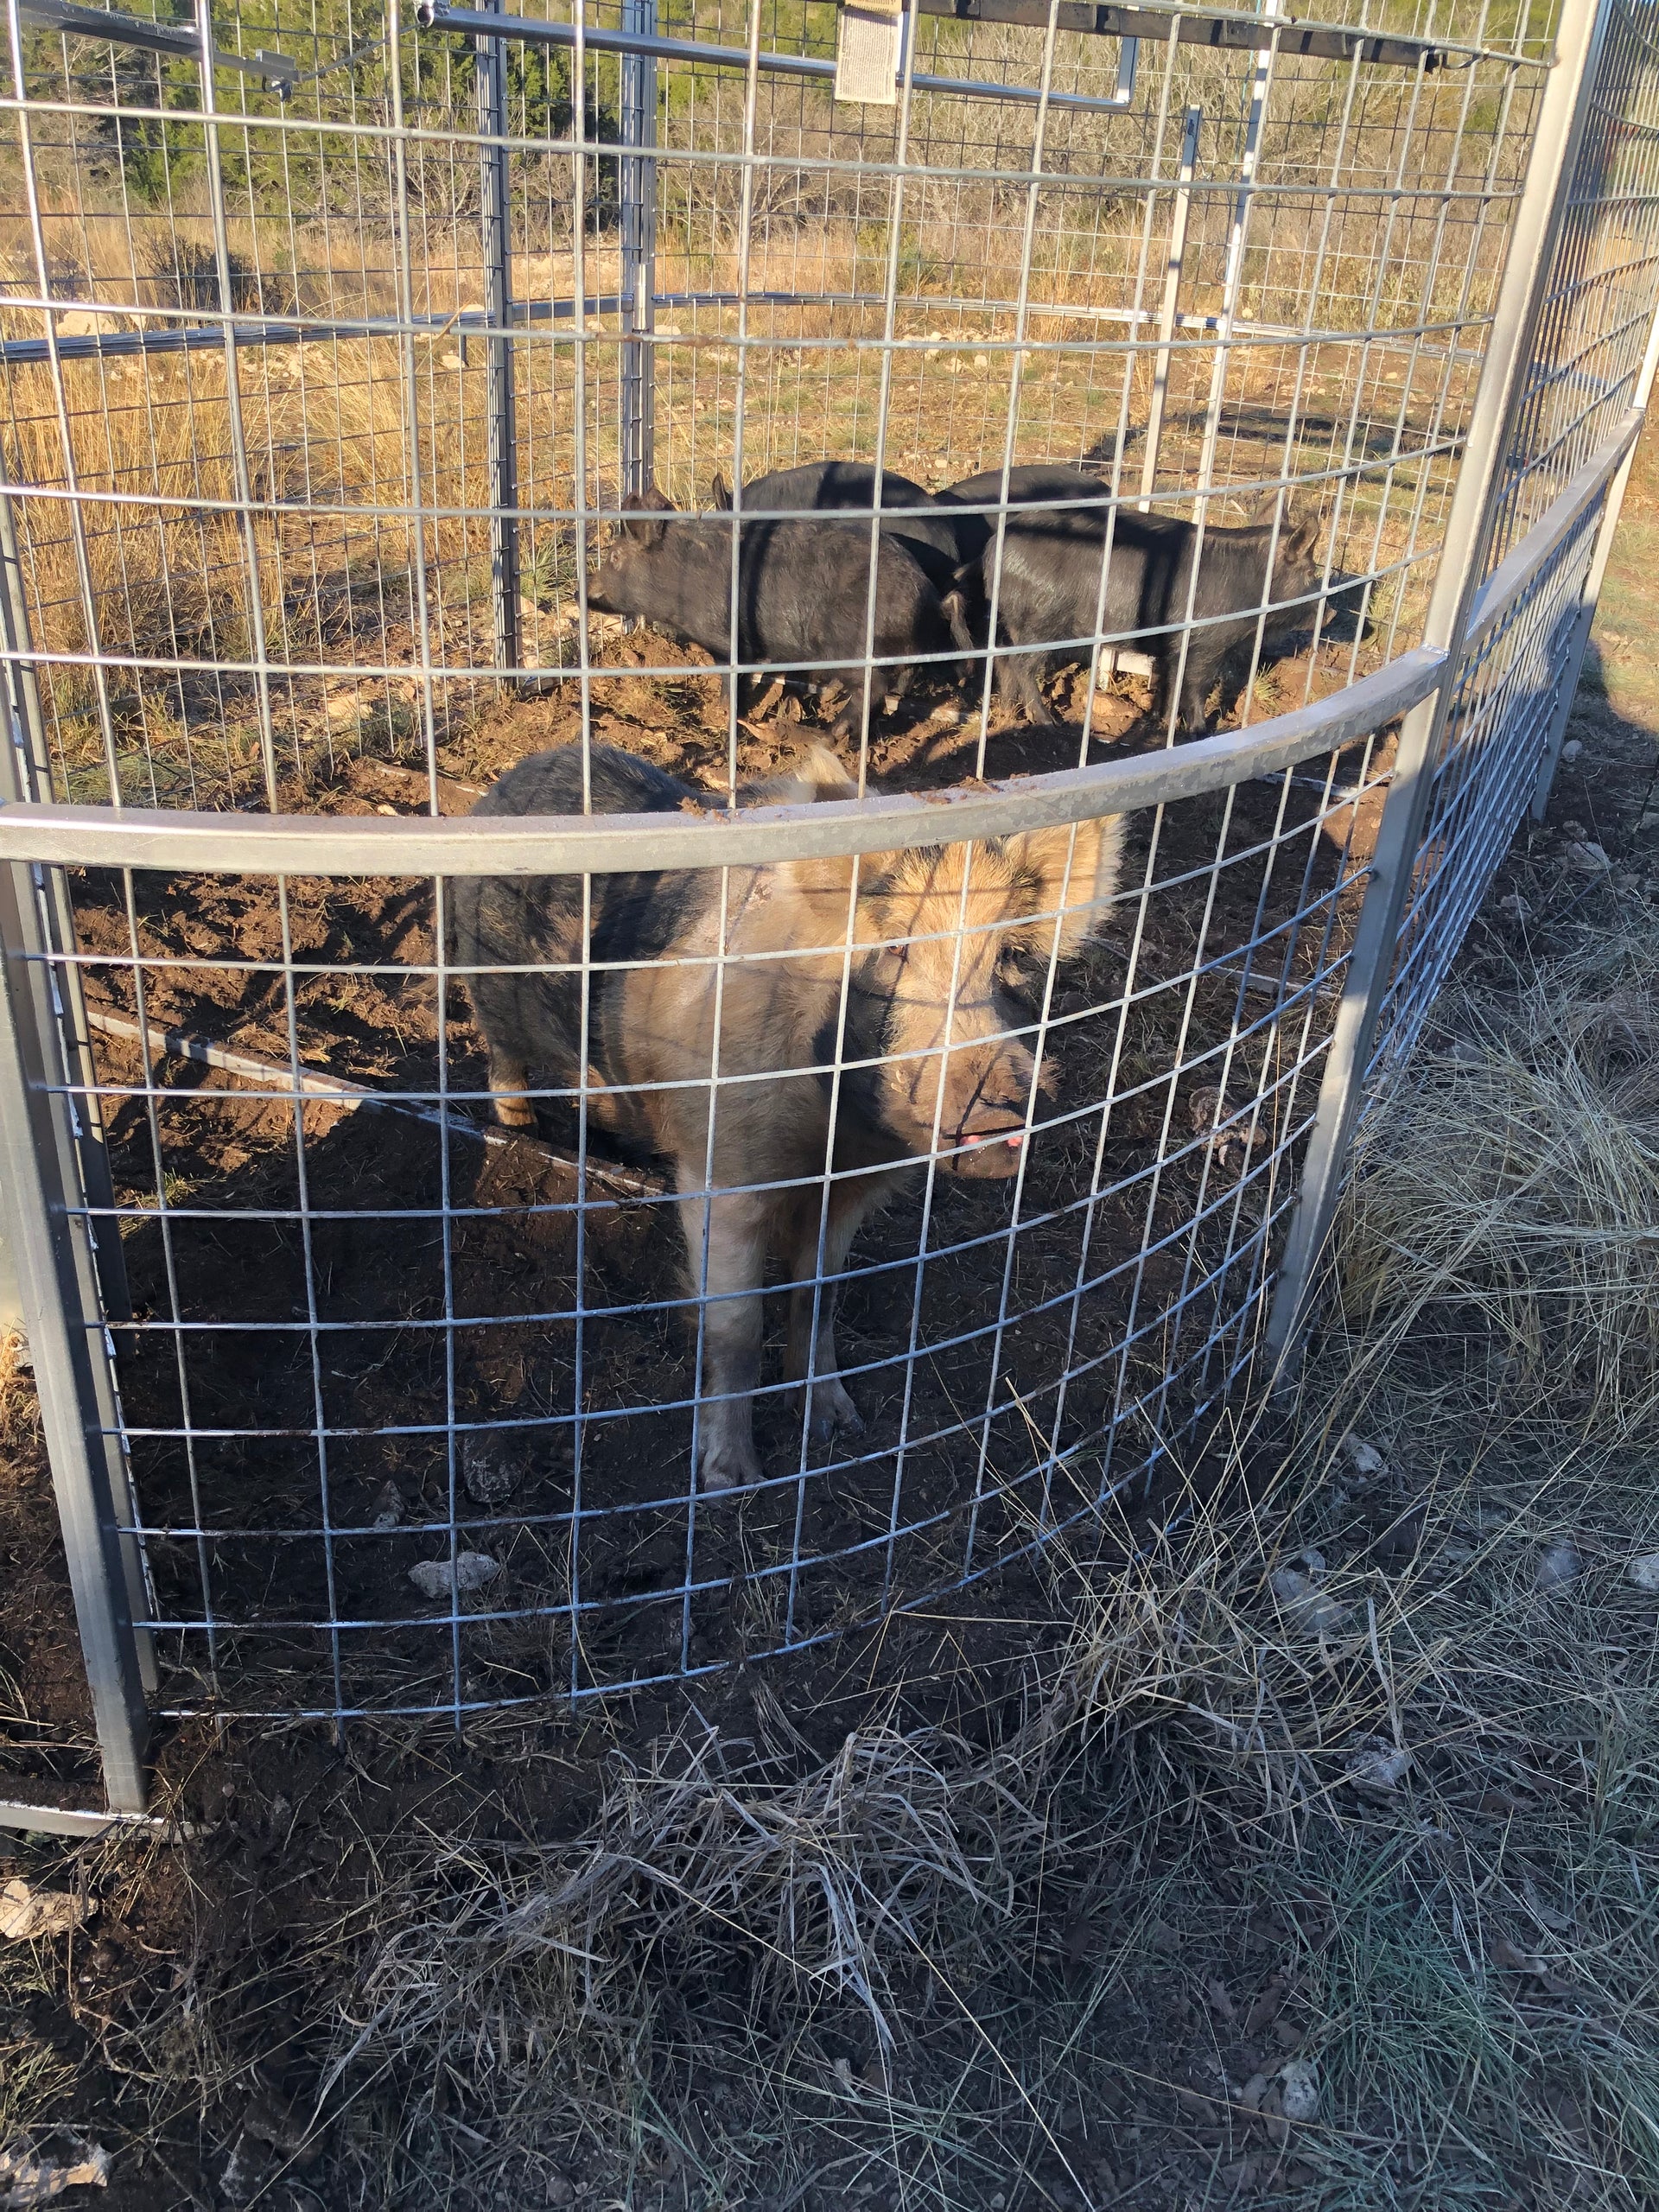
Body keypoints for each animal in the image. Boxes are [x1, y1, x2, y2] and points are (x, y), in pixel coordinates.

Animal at [447, 741, 1123, 1492]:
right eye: (895, 949)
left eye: (1011, 957)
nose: (998, 1115)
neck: (829, 1138)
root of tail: (520, 772)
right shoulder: (721, 1167)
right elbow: (736, 1325)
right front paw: (729, 1482)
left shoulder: (852, 1189)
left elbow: (818, 1295)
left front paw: (837, 1424)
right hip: (489, 994)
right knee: (502, 1065)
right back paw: (517, 1135)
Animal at [585, 484, 952, 737]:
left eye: (614, 556)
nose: (582, 592)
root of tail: (928, 597)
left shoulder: (729, 640)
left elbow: (733, 680)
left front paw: (726, 716)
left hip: (850, 644)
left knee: (871, 686)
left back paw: (829, 735)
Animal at [943, 502, 1330, 734]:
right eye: (1311, 572)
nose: (1332, 611)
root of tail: (992, 550)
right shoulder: (1205, 643)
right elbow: (1196, 686)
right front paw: (1200, 731)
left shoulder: (1175, 648)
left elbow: (1171, 682)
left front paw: (1162, 723)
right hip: (1039, 622)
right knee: (1022, 666)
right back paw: (1048, 722)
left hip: (1012, 621)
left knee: (1004, 662)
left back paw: (1009, 714)